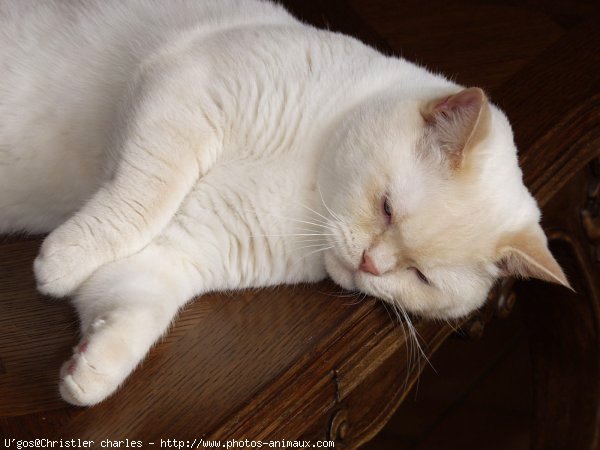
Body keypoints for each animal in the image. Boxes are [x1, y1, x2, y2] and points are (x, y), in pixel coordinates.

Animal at [0, 0, 568, 406]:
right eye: (386, 208)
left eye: (420, 276)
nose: (370, 264)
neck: (310, 189)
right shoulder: (184, 97)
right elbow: (141, 202)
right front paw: (60, 263)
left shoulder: (173, 257)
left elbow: (134, 313)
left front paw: (87, 372)